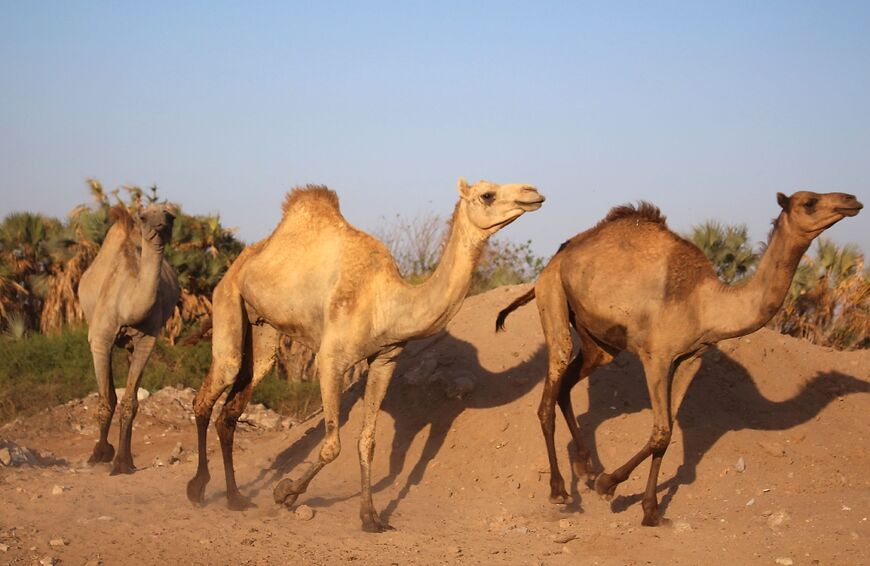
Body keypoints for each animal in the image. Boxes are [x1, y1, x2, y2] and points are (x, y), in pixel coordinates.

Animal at [78, 204, 179, 474]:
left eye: (170, 216)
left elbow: (130, 402)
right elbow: (104, 400)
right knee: (109, 395)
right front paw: (100, 453)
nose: (160, 226)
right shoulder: (100, 340)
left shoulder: (146, 341)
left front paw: (123, 462)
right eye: (144, 217)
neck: (128, 304)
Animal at [186, 179, 544, 532]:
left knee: (232, 409)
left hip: (263, 330)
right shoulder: (331, 360)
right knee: (209, 393)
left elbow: (367, 442)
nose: (534, 193)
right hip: (227, 298)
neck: (386, 303)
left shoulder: (386, 359)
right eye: (487, 194)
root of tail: (247, 256)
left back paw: (235, 498)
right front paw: (284, 492)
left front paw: (371, 517)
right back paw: (197, 489)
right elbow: (332, 445)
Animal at [496, 191, 862, 526]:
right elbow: (660, 431)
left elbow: (668, 433)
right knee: (548, 397)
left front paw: (651, 512)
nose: (852, 200)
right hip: (553, 296)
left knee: (568, 385)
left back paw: (585, 467)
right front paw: (609, 485)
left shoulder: (690, 357)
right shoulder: (656, 355)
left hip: (600, 342)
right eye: (810, 202)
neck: (706, 303)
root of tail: (559, 255)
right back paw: (560, 491)